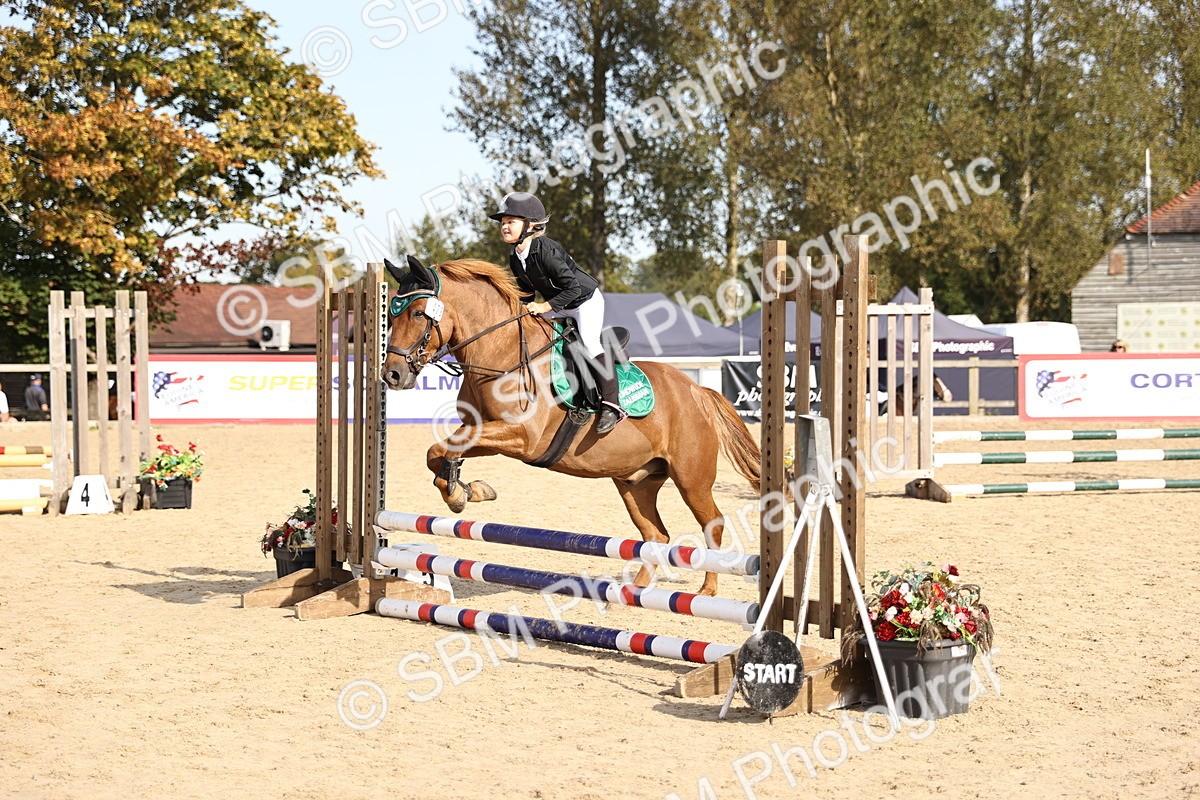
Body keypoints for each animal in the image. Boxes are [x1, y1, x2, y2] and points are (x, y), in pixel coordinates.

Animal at [381, 256, 761, 596]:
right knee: (655, 535)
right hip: (636, 483)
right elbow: (439, 452)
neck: (502, 352)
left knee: (712, 524)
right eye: (390, 314)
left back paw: (706, 590)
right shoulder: (484, 429)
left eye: (418, 313)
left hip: (691, 478)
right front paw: (466, 490)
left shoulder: (521, 437)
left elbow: (442, 448)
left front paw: (462, 493)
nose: (392, 375)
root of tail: (696, 390)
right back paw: (633, 594)